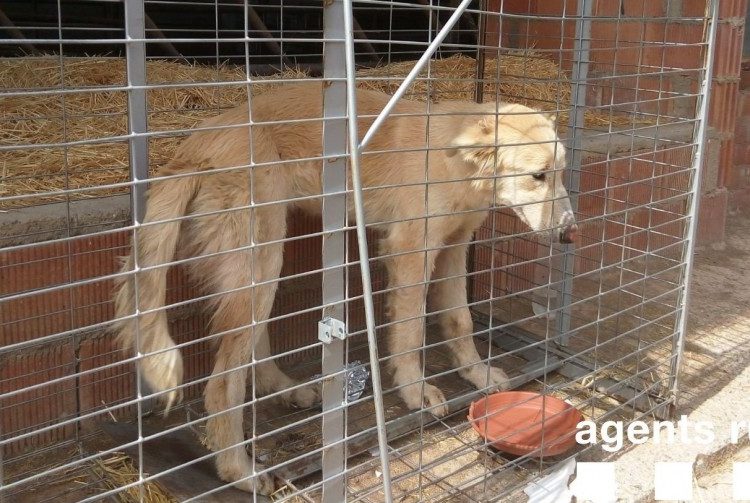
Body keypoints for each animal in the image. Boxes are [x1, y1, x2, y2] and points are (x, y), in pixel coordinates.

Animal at [113, 80, 580, 494]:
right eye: (537, 176)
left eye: (559, 175)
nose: (570, 233)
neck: (453, 161)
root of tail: (197, 145)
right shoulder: (411, 251)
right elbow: (409, 334)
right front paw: (414, 391)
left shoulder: (454, 247)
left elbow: (459, 320)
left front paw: (477, 373)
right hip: (260, 258)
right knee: (222, 385)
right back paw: (238, 470)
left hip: (265, 261)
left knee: (251, 351)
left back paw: (285, 390)